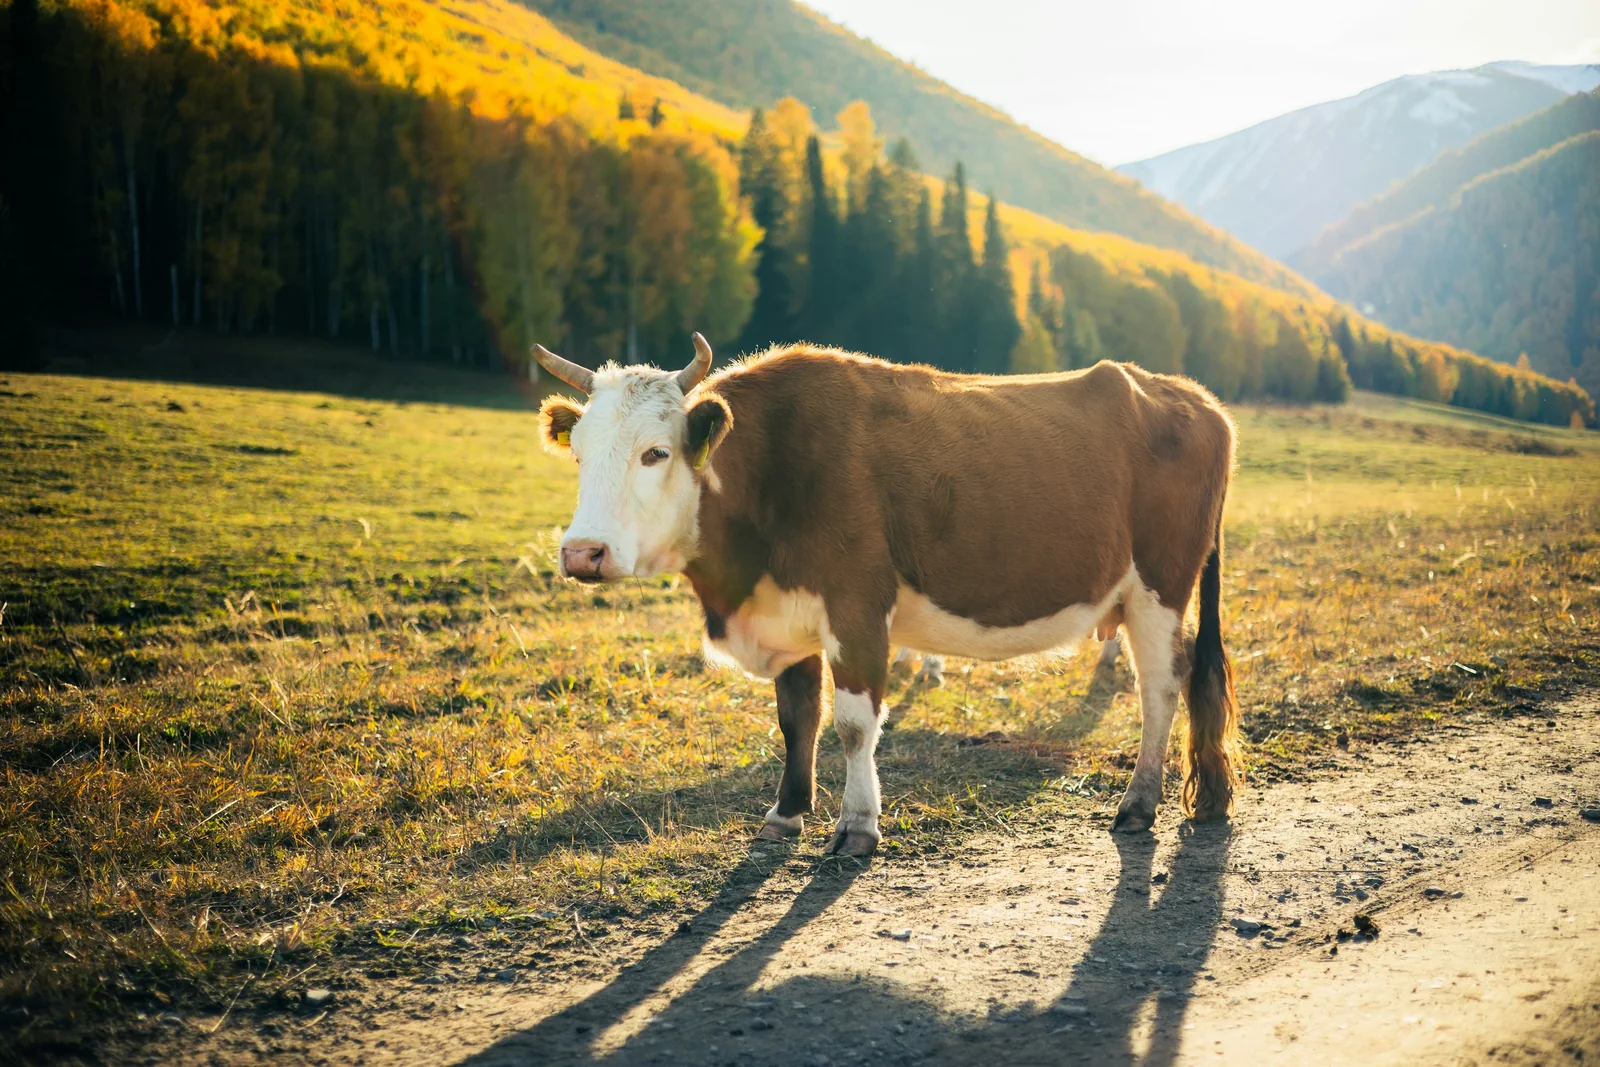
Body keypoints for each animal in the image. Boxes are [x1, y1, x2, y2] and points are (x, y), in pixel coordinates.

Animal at [532, 334, 1241, 857]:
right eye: (579, 454)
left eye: (655, 453)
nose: (582, 553)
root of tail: (1197, 399)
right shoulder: (789, 615)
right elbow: (797, 717)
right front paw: (787, 812)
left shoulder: (857, 607)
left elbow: (852, 725)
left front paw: (856, 825)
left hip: (1161, 588)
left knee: (1161, 688)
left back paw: (1138, 803)